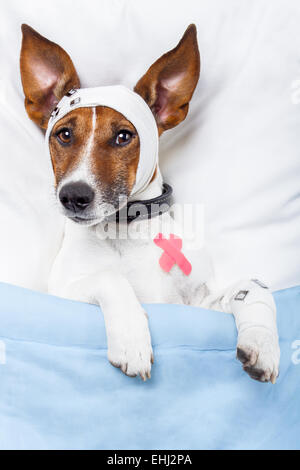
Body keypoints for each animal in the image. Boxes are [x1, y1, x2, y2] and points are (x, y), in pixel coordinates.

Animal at [19, 23, 280, 382]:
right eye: (65, 134)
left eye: (123, 136)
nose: (73, 195)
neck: (126, 230)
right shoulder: (61, 294)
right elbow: (109, 278)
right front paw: (132, 341)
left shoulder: (196, 305)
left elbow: (253, 286)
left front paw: (263, 342)